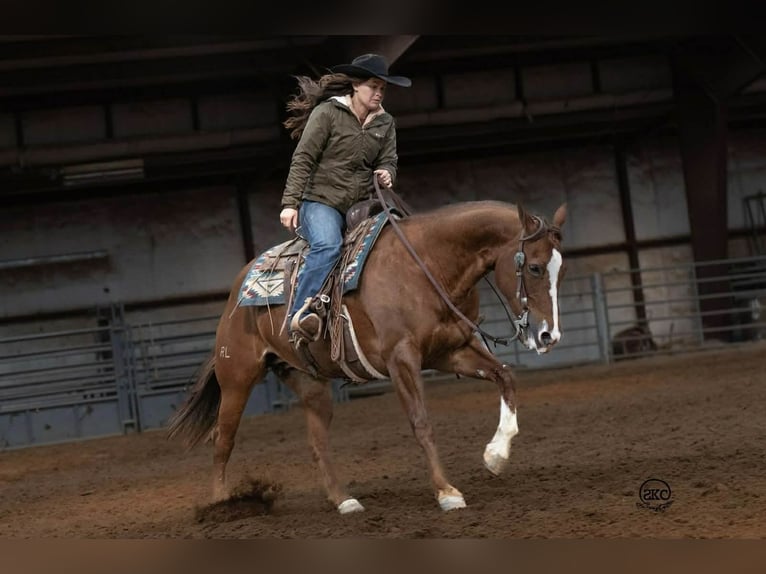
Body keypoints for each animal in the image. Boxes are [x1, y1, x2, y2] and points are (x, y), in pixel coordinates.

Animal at [167, 199, 567, 514]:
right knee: (223, 438)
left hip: (309, 381)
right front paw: (446, 491)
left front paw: (496, 455)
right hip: (237, 376)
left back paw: (343, 500)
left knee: (317, 442)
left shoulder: (450, 351)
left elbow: (505, 376)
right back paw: (222, 505)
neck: (426, 265)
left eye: (559, 271)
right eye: (534, 267)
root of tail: (239, 286)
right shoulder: (400, 357)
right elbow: (421, 422)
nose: (549, 335)